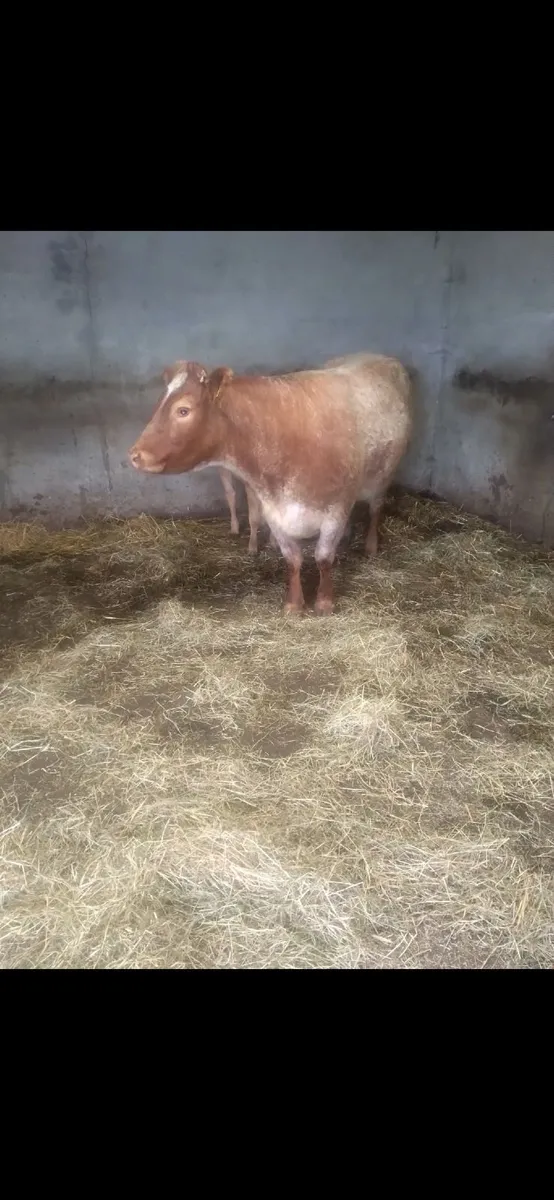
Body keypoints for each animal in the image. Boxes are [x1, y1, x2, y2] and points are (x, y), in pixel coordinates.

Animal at [129, 354, 412, 615]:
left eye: (183, 410)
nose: (135, 455)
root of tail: (375, 356)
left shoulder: (335, 509)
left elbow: (322, 558)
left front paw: (324, 602)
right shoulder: (275, 511)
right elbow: (293, 559)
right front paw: (293, 604)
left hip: (383, 476)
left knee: (375, 509)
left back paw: (371, 545)